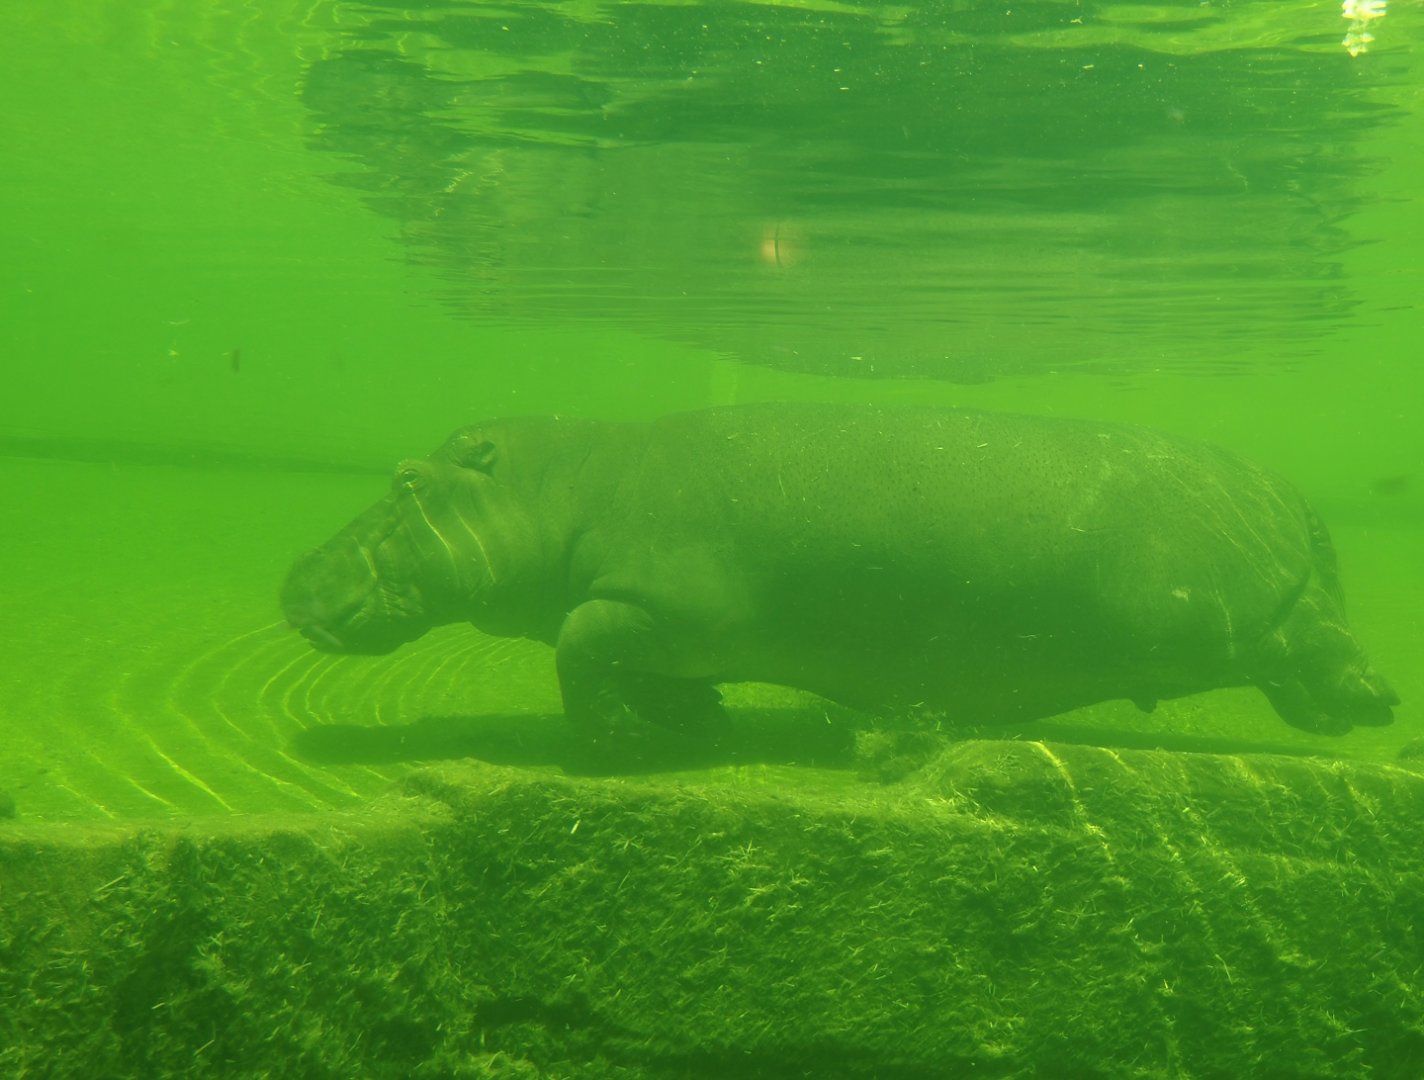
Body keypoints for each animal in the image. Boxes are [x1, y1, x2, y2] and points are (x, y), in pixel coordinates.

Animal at [281, 403, 1397, 743]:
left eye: (404, 479)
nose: (292, 578)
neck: (558, 489)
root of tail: (1301, 501)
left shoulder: (659, 602)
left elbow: (579, 640)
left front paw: (617, 740)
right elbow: (633, 663)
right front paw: (695, 719)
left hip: (1253, 621)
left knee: (1319, 646)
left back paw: (1377, 706)